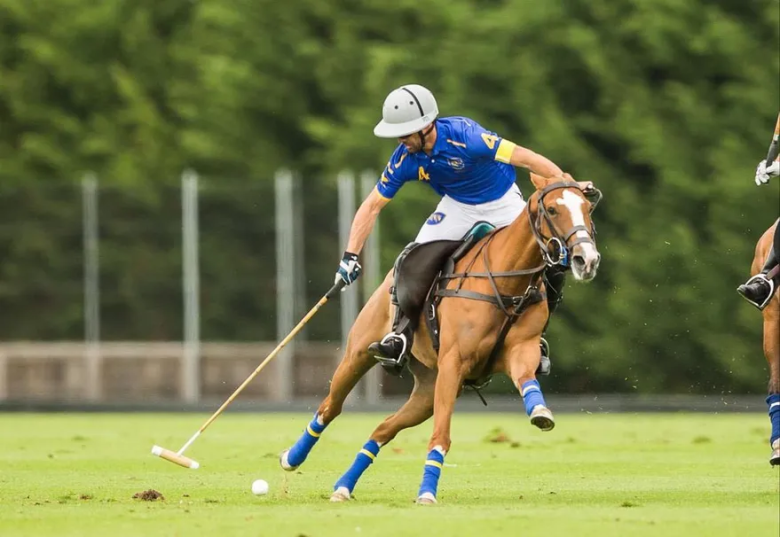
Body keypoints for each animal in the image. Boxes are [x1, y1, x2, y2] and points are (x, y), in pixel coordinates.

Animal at [280, 173, 604, 502]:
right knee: (330, 407)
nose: (587, 259)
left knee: (383, 429)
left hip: (427, 389)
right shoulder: (454, 362)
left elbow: (528, 380)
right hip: (359, 353)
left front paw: (540, 412)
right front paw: (426, 493)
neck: (506, 283)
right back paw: (292, 457)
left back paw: (344, 487)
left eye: (586, 208)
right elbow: (441, 436)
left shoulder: (521, 350)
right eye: (552, 210)